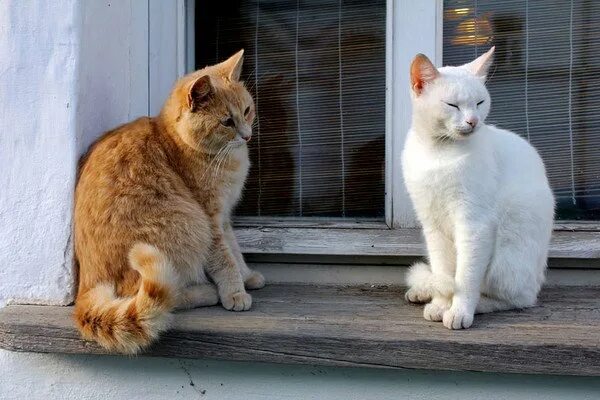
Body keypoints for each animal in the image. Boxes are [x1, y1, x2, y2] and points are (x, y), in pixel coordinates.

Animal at [73, 49, 264, 354]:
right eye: (226, 122)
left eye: (247, 111)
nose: (247, 136)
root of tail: (87, 286)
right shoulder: (210, 219)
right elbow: (225, 259)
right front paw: (235, 292)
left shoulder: (224, 218)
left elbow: (235, 251)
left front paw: (247, 276)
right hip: (187, 225)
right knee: (161, 294)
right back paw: (205, 292)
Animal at [400, 46, 556, 328]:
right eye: (453, 105)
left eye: (480, 103)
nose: (473, 121)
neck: (438, 153)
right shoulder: (433, 226)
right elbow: (443, 270)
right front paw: (439, 304)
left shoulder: (474, 224)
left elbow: (465, 278)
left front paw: (458, 311)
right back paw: (422, 292)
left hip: (507, 253)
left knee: (519, 299)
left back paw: (479, 305)